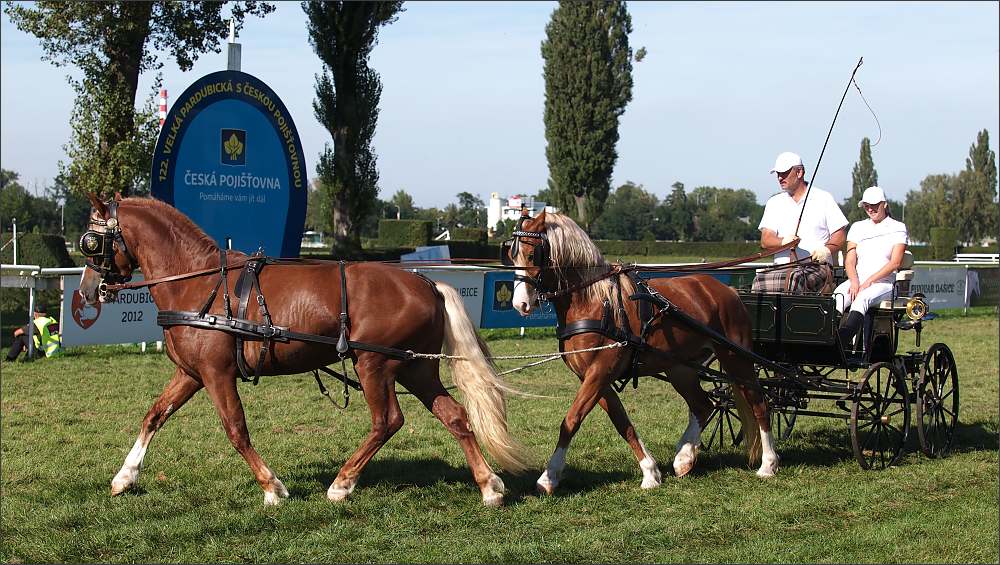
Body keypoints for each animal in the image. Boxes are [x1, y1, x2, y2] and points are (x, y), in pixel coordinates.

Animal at [77, 194, 531, 506]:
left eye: (90, 241)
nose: (86, 291)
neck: (198, 280)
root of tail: (426, 282)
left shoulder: (217, 373)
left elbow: (236, 429)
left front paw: (272, 487)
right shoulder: (192, 373)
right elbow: (155, 414)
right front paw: (125, 477)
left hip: (375, 365)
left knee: (387, 421)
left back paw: (342, 483)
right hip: (414, 369)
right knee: (454, 416)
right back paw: (489, 486)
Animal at [503, 210, 778, 494]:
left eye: (533, 255)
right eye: (511, 255)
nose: (521, 304)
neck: (593, 302)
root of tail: (728, 290)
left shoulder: (599, 373)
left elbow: (571, 420)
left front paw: (548, 477)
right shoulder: (594, 378)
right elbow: (621, 422)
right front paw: (650, 471)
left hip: (737, 359)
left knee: (760, 403)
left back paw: (768, 464)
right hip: (680, 367)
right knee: (703, 405)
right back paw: (684, 458)